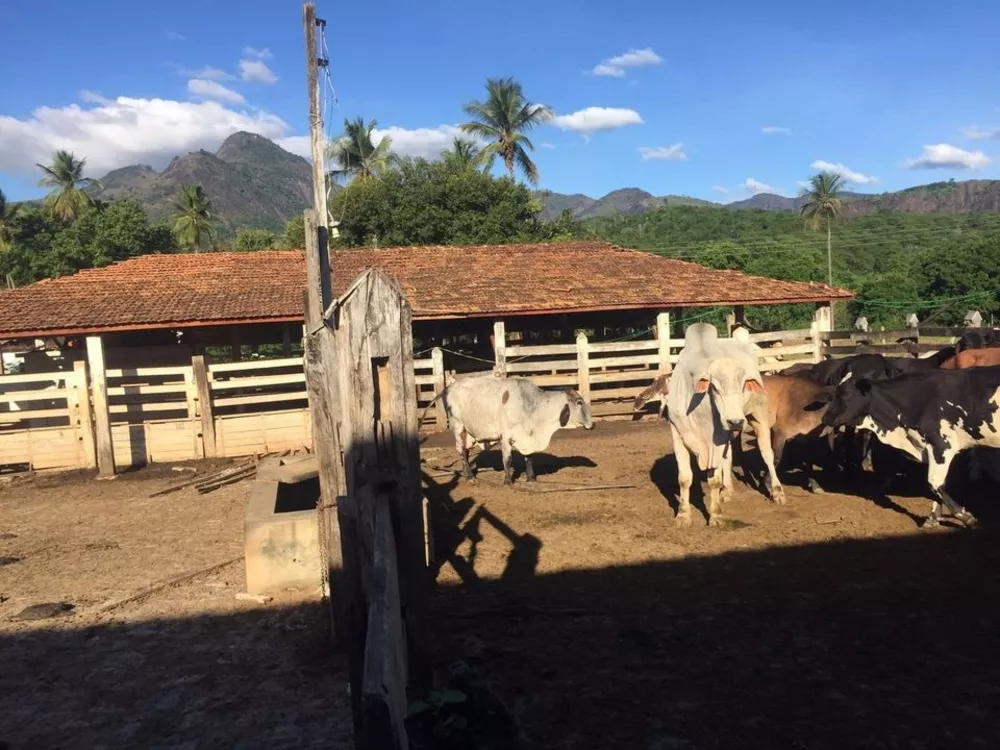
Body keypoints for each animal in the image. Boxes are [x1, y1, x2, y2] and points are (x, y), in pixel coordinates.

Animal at [438, 376, 592, 488]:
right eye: (579, 402)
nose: (593, 423)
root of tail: (449, 387)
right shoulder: (505, 437)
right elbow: (507, 459)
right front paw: (507, 481)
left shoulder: (527, 437)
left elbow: (529, 458)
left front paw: (531, 478)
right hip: (458, 426)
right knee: (461, 450)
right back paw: (470, 477)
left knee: (465, 450)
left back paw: (467, 474)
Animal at [668, 324, 784, 528]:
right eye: (714, 386)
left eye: (744, 384)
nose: (735, 421)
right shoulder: (677, 433)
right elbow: (684, 479)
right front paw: (683, 515)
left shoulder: (716, 439)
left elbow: (713, 479)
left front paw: (715, 515)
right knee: (728, 456)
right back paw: (728, 490)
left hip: (758, 415)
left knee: (767, 453)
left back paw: (777, 491)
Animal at [816, 366, 1000, 528]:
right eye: (832, 395)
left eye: (846, 394)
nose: (824, 419)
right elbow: (938, 485)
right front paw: (933, 518)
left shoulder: (941, 445)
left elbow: (934, 483)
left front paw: (966, 517)